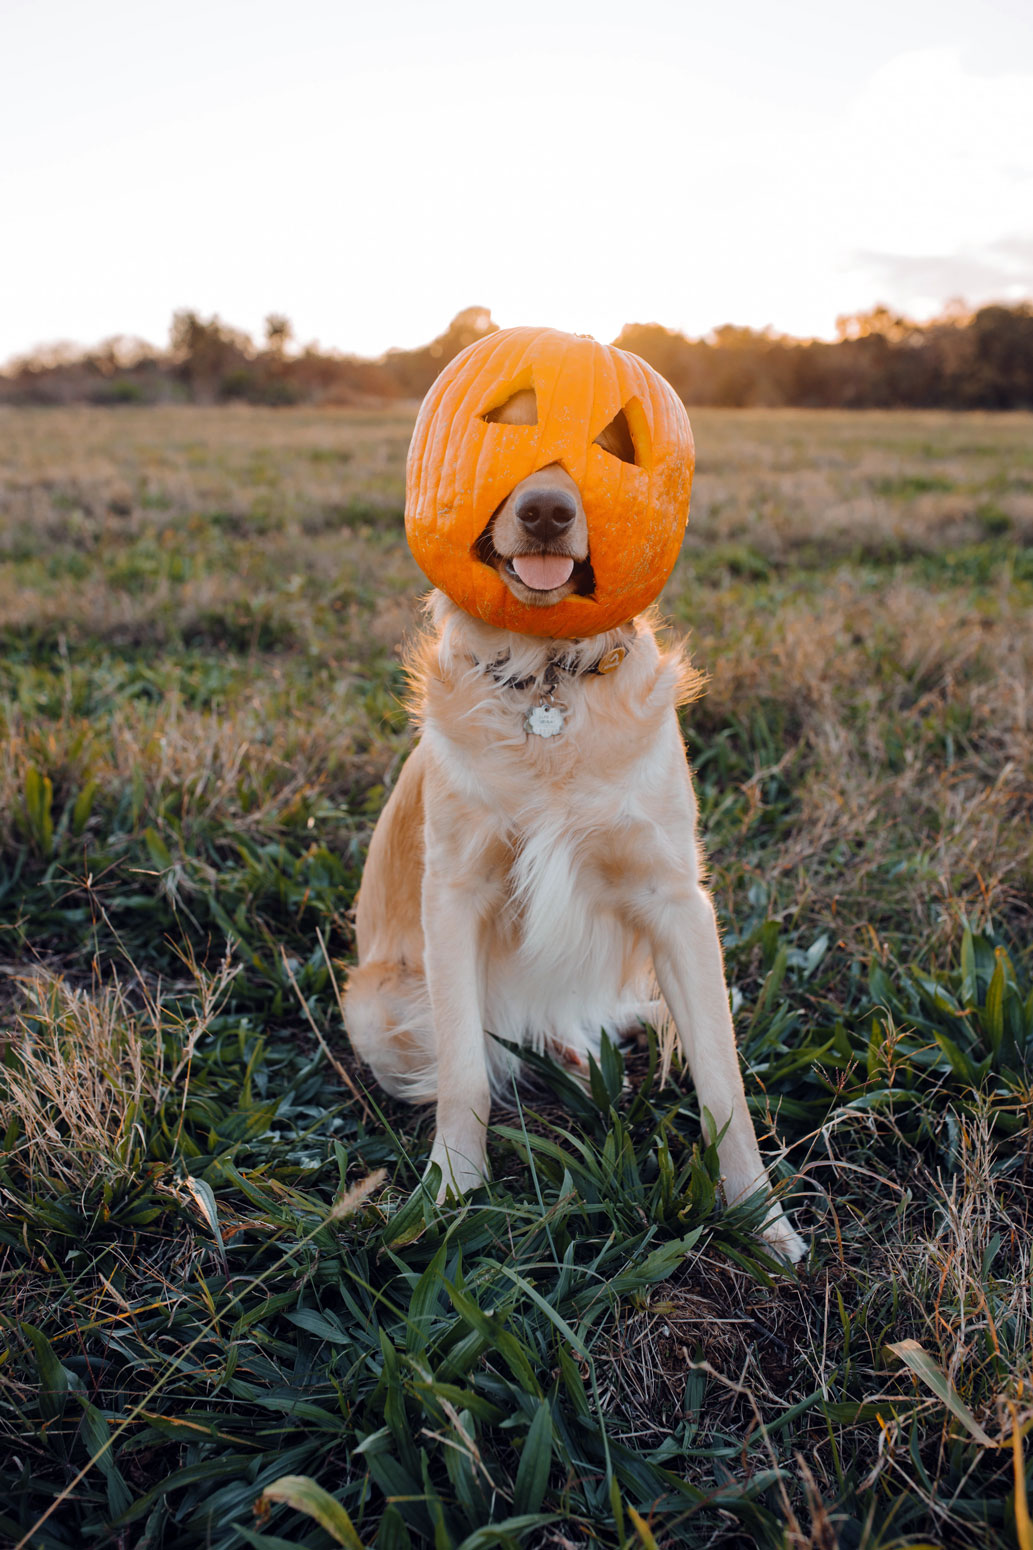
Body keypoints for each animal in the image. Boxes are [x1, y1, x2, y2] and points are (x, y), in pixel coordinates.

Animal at [341, 387, 800, 1258]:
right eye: (506, 418)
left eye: (616, 439)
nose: (549, 511)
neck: (547, 678)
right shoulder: (454, 892)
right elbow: (464, 1075)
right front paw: (450, 1194)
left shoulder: (674, 900)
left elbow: (723, 1084)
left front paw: (760, 1220)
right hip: (379, 1011)